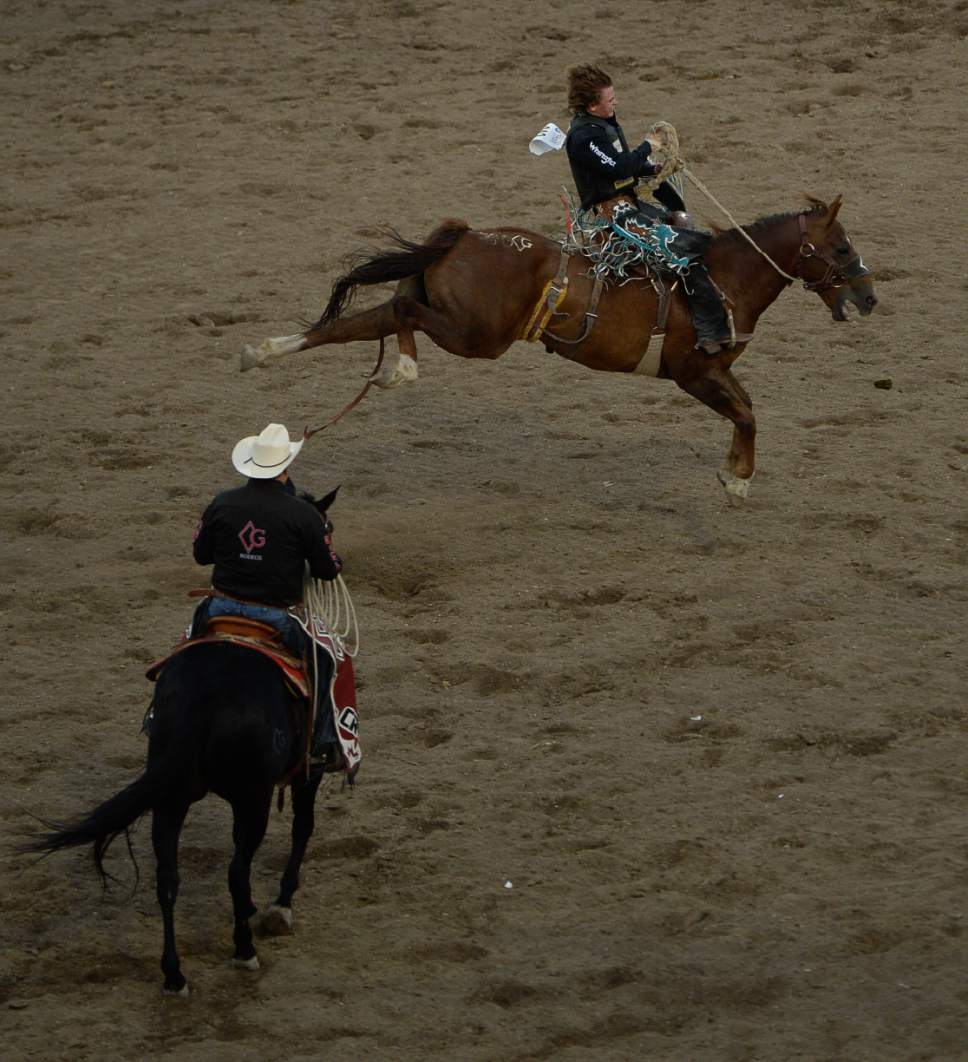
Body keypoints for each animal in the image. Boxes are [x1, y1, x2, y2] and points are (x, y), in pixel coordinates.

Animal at [20, 488, 346, 994]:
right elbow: (302, 829)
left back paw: (174, 974)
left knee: (167, 879)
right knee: (235, 870)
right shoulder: (306, 775)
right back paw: (243, 950)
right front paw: (280, 907)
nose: (337, 560)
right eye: (325, 530)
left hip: (171, 796)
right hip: (250, 798)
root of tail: (206, 696)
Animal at [242, 197, 879, 503]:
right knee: (399, 317)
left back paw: (264, 351)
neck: (720, 278)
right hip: (476, 335)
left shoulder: (716, 370)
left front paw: (733, 474)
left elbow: (747, 409)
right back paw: (401, 369)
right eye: (841, 247)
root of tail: (467, 237)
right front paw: (738, 480)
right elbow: (747, 413)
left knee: (363, 319)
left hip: (454, 318)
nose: (869, 296)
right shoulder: (694, 372)